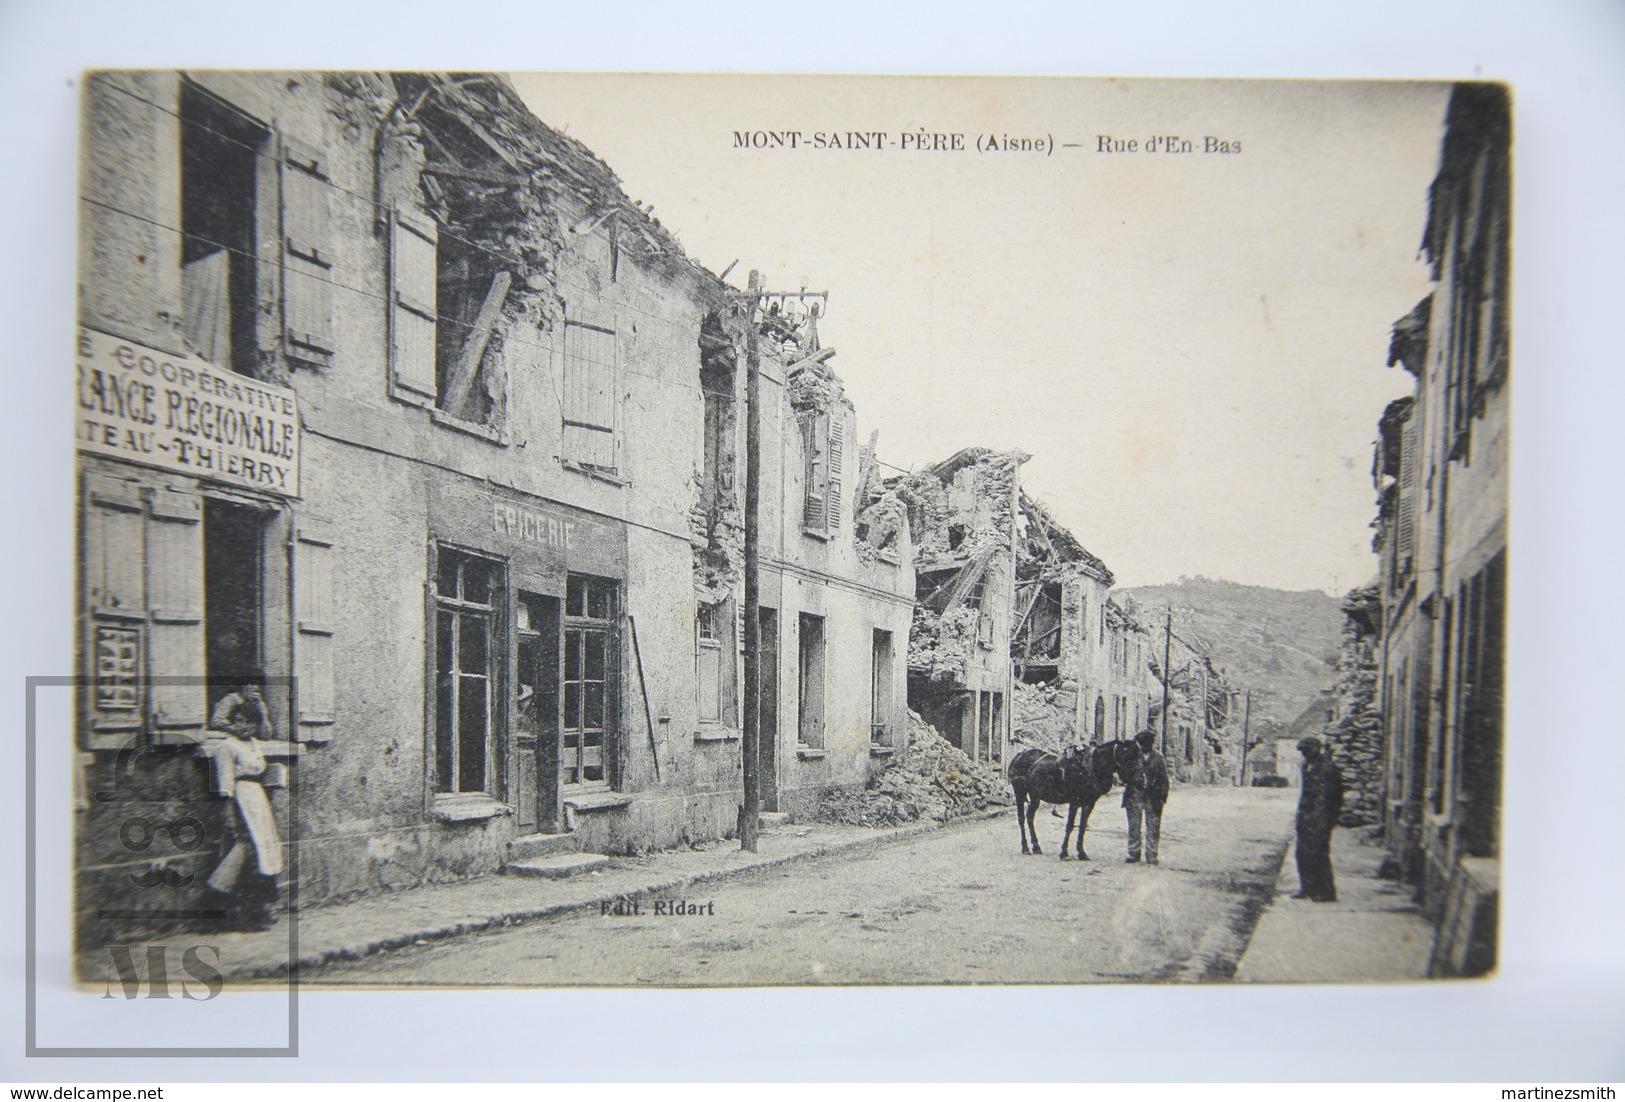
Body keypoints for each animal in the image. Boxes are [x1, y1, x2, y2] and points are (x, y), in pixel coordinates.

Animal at [1007, 741, 1137, 864]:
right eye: (1126, 755)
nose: (1133, 780)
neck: (1090, 766)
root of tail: (1019, 755)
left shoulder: (1089, 803)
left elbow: (1082, 826)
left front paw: (1081, 853)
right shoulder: (1074, 802)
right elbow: (1070, 826)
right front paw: (1064, 853)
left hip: (1035, 796)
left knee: (1029, 817)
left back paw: (1036, 847)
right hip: (1019, 792)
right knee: (1021, 818)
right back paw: (1025, 848)